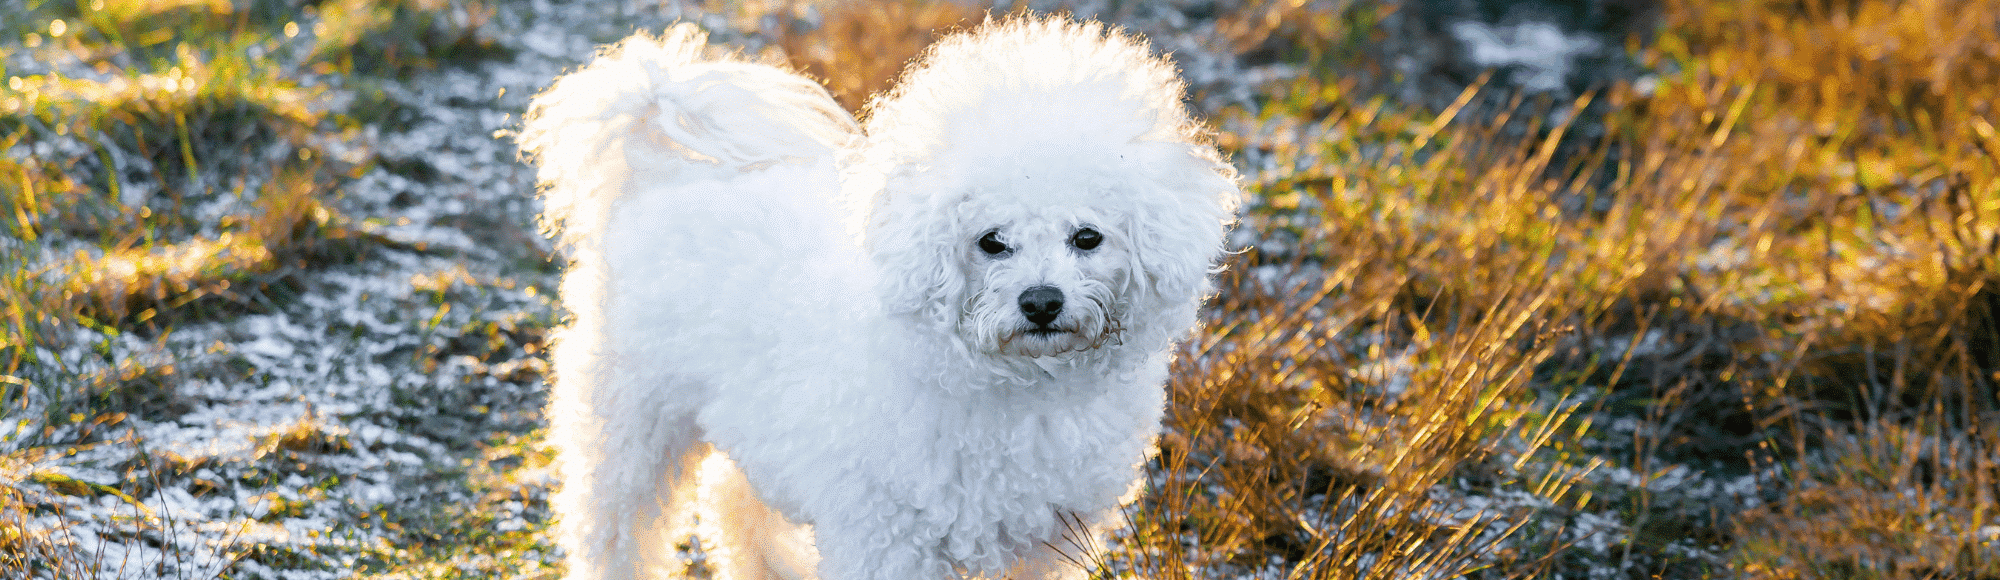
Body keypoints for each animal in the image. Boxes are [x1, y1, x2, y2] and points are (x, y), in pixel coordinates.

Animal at [516, 14, 1232, 580]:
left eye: (1087, 237)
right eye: (991, 241)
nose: (1041, 303)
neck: (1018, 387)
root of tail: (657, 167)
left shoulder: (1047, 542)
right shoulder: (887, 539)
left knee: (734, 501)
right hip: (628, 419)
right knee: (614, 528)